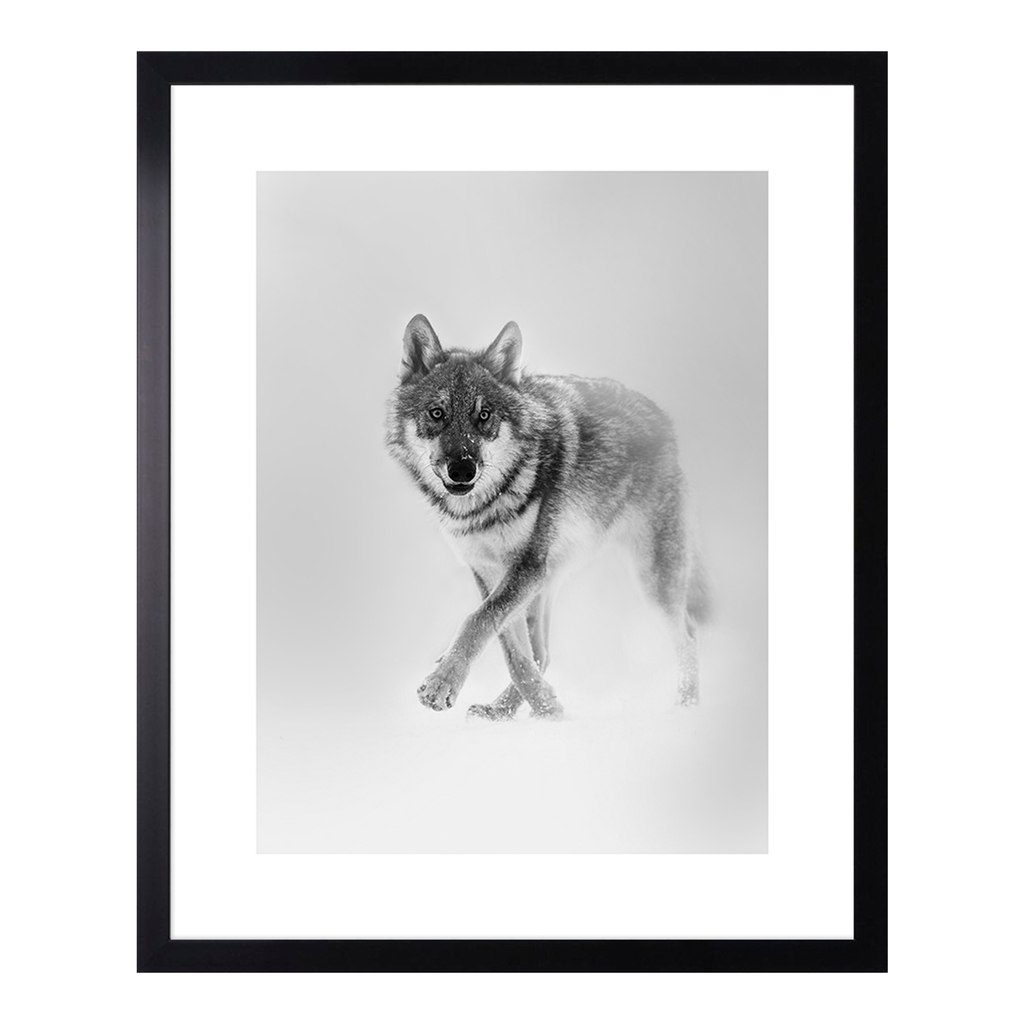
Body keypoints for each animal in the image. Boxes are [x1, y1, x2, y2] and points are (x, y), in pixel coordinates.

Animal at [385, 314, 707, 720]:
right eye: (436, 413)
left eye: (484, 416)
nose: (462, 469)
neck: (484, 507)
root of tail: (662, 417)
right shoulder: (491, 570)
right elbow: (510, 648)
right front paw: (546, 706)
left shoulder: (527, 565)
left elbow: (477, 621)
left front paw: (442, 684)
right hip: (551, 578)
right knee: (542, 652)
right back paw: (506, 711)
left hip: (652, 579)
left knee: (689, 638)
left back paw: (686, 706)